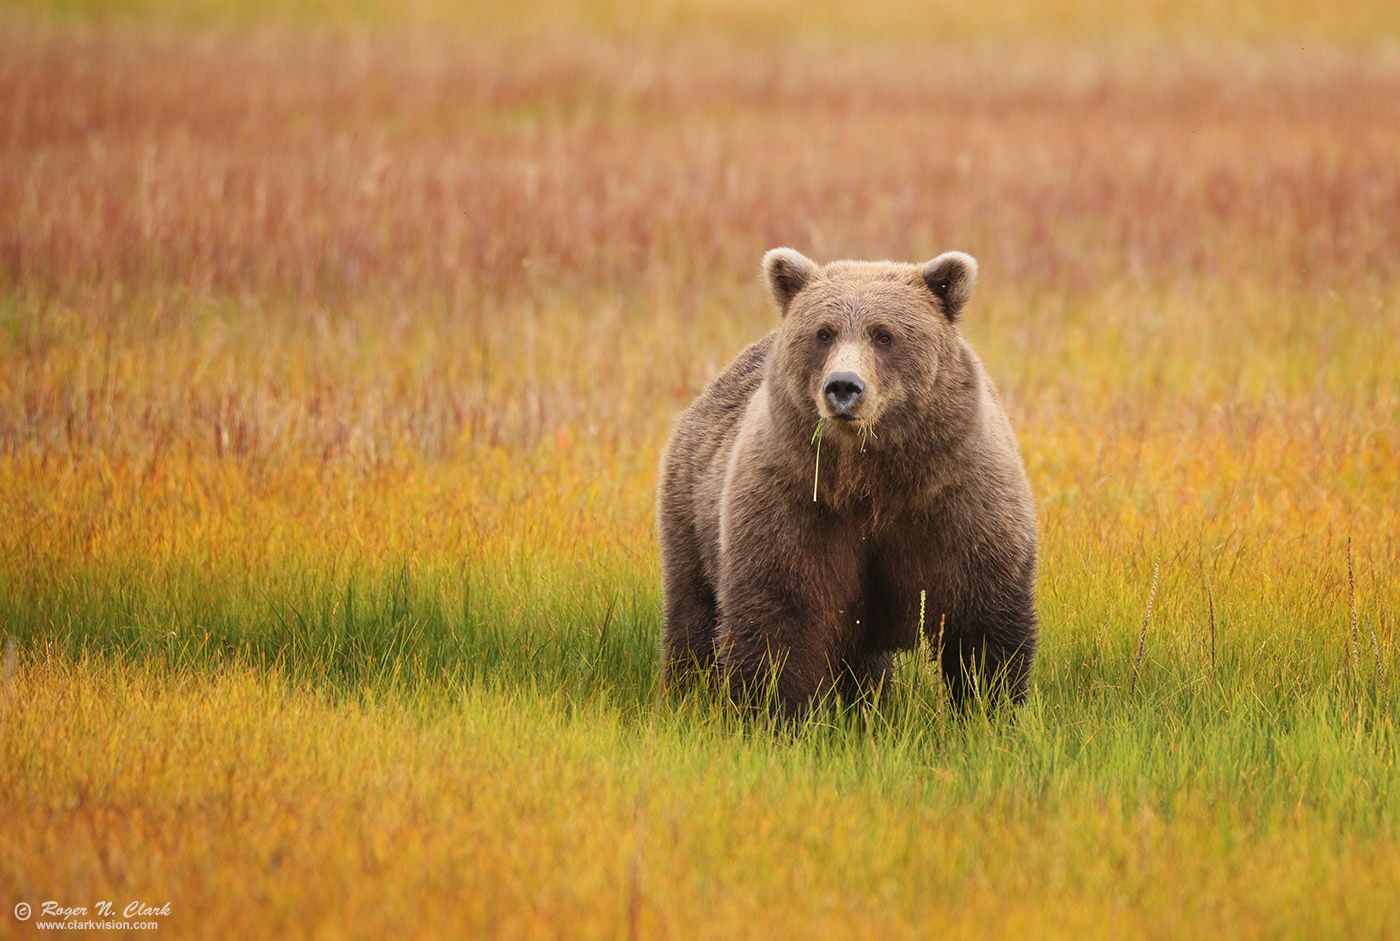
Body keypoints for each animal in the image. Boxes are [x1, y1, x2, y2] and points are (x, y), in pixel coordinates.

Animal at [658, 249, 1041, 714]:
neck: (870, 480)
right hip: (692, 512)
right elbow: (779, 619)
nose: (843, 386)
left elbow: (983, 624)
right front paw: (776, 712)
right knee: (693, 613)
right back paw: (686, 692)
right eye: (823, 333)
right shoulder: (795, 504)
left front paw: (989, 708)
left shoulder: (960, 502)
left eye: (884, 335)